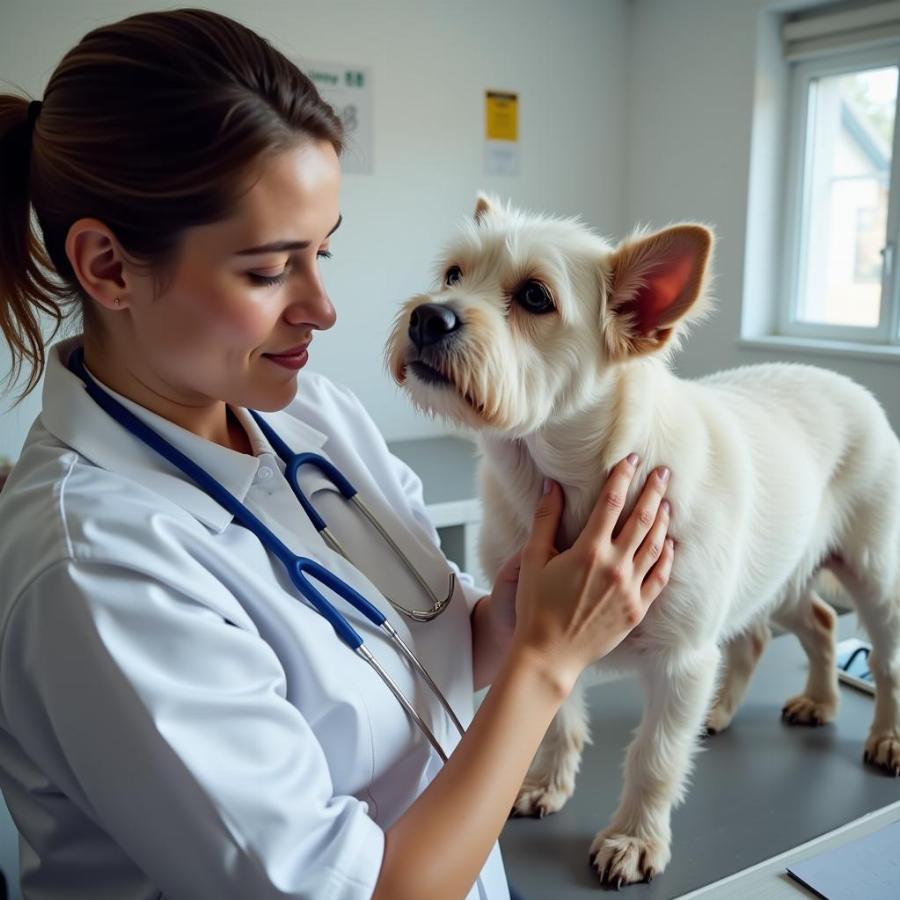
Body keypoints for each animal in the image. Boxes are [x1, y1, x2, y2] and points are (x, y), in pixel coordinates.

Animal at [384, 197, 900, 884]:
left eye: (535, 296)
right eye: (451, 275)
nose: (426, 316)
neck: (561, 477)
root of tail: (847, 382)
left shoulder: (682, 658)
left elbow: (655, 757)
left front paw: (634, 839)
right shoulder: (541, 630)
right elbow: (556, 721)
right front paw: (546, 783)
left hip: (870, 574)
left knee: (883, 658)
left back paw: (885, 733)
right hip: (774, 574)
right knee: (804, 624)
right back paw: (797, 702)